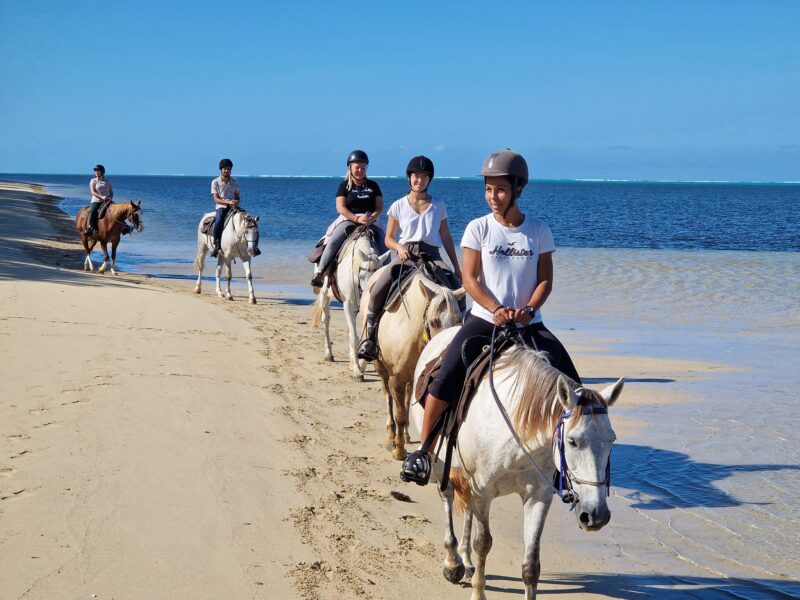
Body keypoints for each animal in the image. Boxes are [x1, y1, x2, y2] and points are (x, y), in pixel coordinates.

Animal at [310, 230, 390, 380]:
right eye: (362, 274)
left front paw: (360, 363)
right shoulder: (348, 304)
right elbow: (354, 337)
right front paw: (357, 371)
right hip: (325, 295)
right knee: (326, 322)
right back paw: (329, 354)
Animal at [360, 268, 466, 460]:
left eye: (458, 321)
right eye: (433, 322)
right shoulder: (396, 378)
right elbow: (400, 414)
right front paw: (399, 450)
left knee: (407, 397)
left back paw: (406, 435)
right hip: (381, 367)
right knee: (388, 397)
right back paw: (391, 436)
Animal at [412, 328, 624, 600]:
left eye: (612, 440)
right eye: (573, 441)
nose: (596, 516)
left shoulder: (538, 495)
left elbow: (531, 564)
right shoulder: (483, 491)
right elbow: (484, 543)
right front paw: (478, 593)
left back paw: (466, 562)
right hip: (442, 465)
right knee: (447, 496)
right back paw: (453, 563)